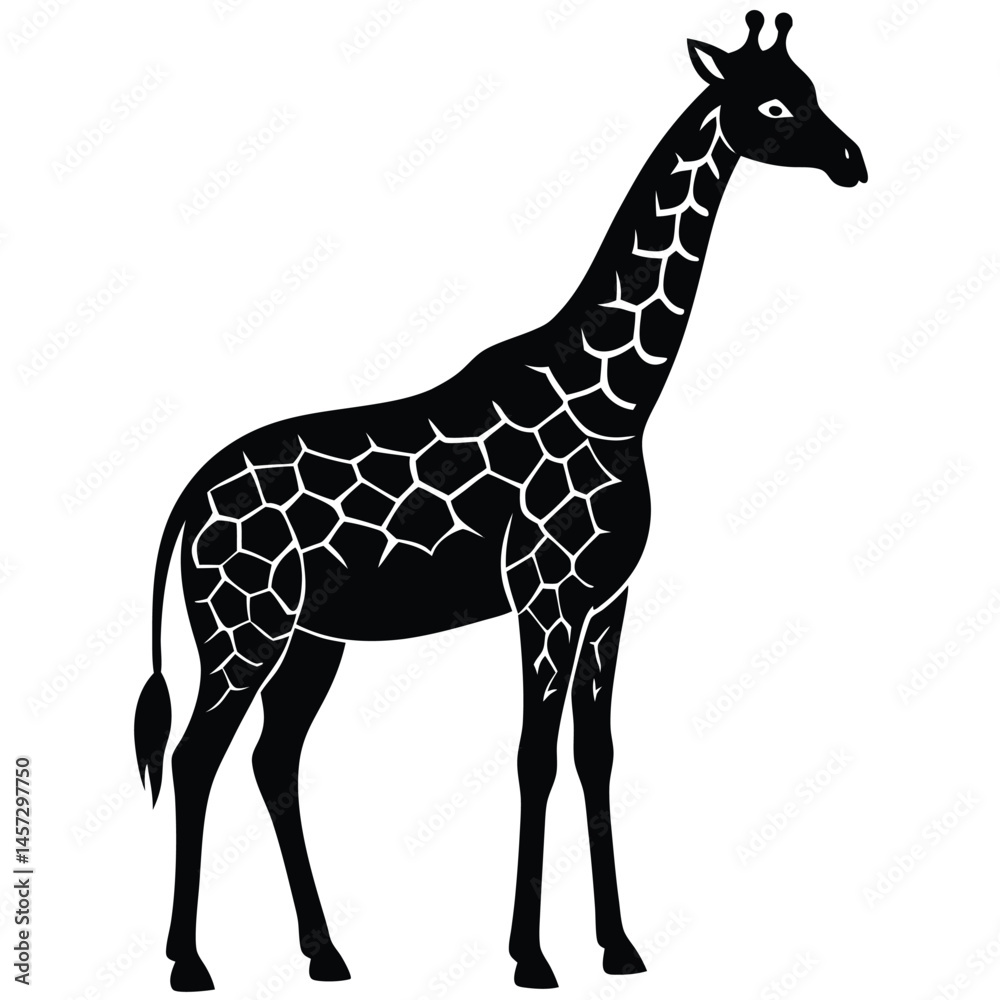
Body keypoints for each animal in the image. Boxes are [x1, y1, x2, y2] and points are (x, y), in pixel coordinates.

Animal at [134, 11, 867, 992]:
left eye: (815, 89)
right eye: (777, 105)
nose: (853, 160)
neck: (619, 398)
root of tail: (188, 496)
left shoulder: (607, 598)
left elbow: (595, 755)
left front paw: (619, 946)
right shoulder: (544, 596)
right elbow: (533, 759)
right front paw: (531, 957)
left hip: (310, 639)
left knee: (271, 759)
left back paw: (326, 953)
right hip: (240, 626)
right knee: (194, 757)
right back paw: (189, 962)